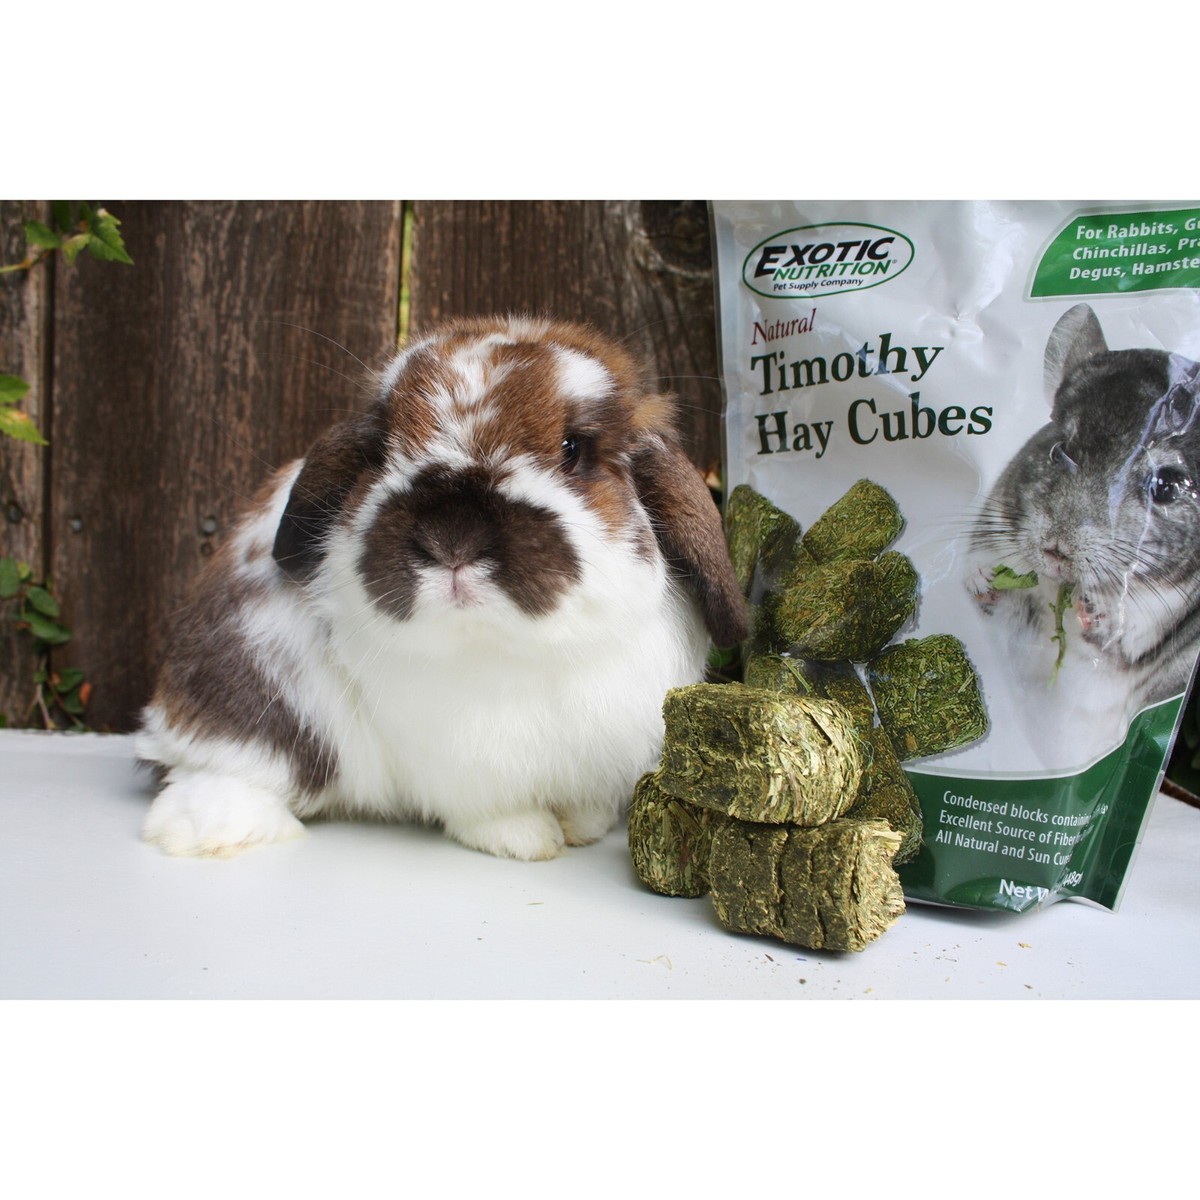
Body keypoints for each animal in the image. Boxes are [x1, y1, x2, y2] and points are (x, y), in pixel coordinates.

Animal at [136, 315, 748, 861]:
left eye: (574, 448)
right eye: (382, 451)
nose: (452, 536)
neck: (508, 653)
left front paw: (584, 828)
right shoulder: (465, 763)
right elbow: (496, 814)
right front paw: (529, 839)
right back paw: (213, 830)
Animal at [968, 302, 1200, 749]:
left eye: (1165, 486)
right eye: (1060, 449)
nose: (1056, 550)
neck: (1058, 589)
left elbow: (1116, 649)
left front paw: (1098, 610)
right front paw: (983, 577)